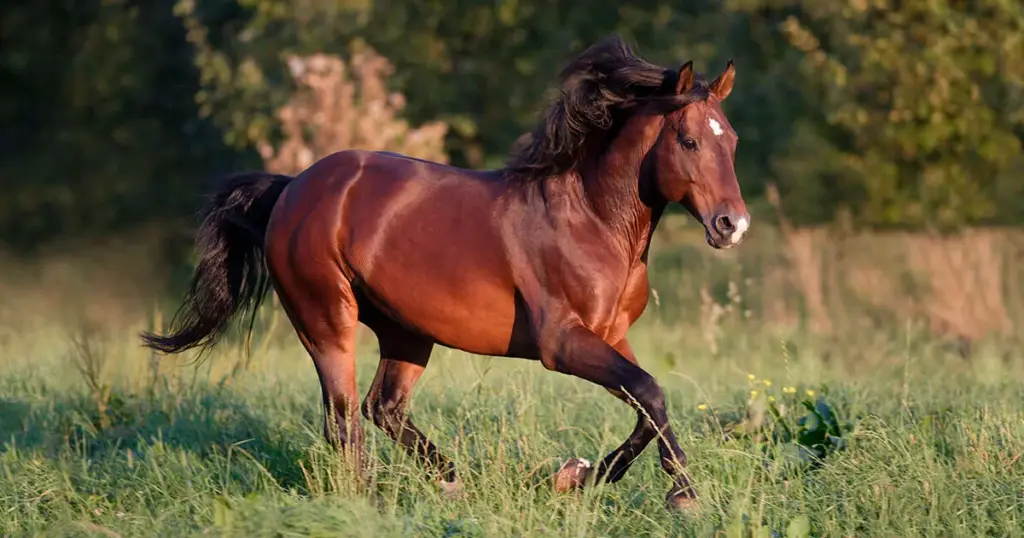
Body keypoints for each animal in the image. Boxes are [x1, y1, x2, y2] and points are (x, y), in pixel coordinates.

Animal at [141, 36, 750, 512]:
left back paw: (453, 484)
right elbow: (649, 392)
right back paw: (371, 501)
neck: (593, 220)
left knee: (382, 408)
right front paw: (675, 494)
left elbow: (648, 404)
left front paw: (576, 478)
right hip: (327, 322)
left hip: (407, 332)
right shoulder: (562, 343)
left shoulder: (612, 336)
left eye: (733, 141)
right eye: (689, 141)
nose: (732, 225)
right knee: (344, 420)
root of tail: (292, 187)